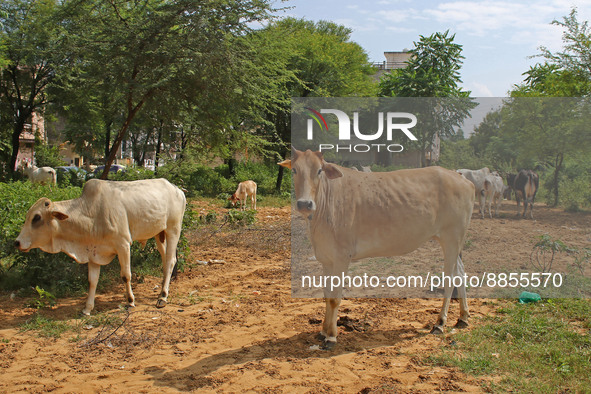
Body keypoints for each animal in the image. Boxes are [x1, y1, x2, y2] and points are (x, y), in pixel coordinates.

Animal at [15, 178, 186, 314]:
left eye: (37, 218)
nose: (17, 242)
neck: (91, 213)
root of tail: (177, 189)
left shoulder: (123, 244)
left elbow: (126, 275)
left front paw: (130, 301)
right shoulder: (93, 253)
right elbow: (92, 281)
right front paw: (87, 308)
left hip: (173, 229)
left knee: (170, 260)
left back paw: (163, 297)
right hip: (159, 234)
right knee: (165, 261)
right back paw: (162, 291)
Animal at [278, 149, 476, 350]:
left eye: (319, 171)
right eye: (294, 170)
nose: (305, 204)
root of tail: (462, 178)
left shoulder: (342, 257)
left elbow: (334, 298)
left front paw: (331, 337)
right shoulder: (326, 259)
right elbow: (326, 295)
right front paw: (323, 332)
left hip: (452, 237)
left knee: (450, 278)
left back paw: (440, 323)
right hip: (454, 241)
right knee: (460, 273)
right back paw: (463, 317)